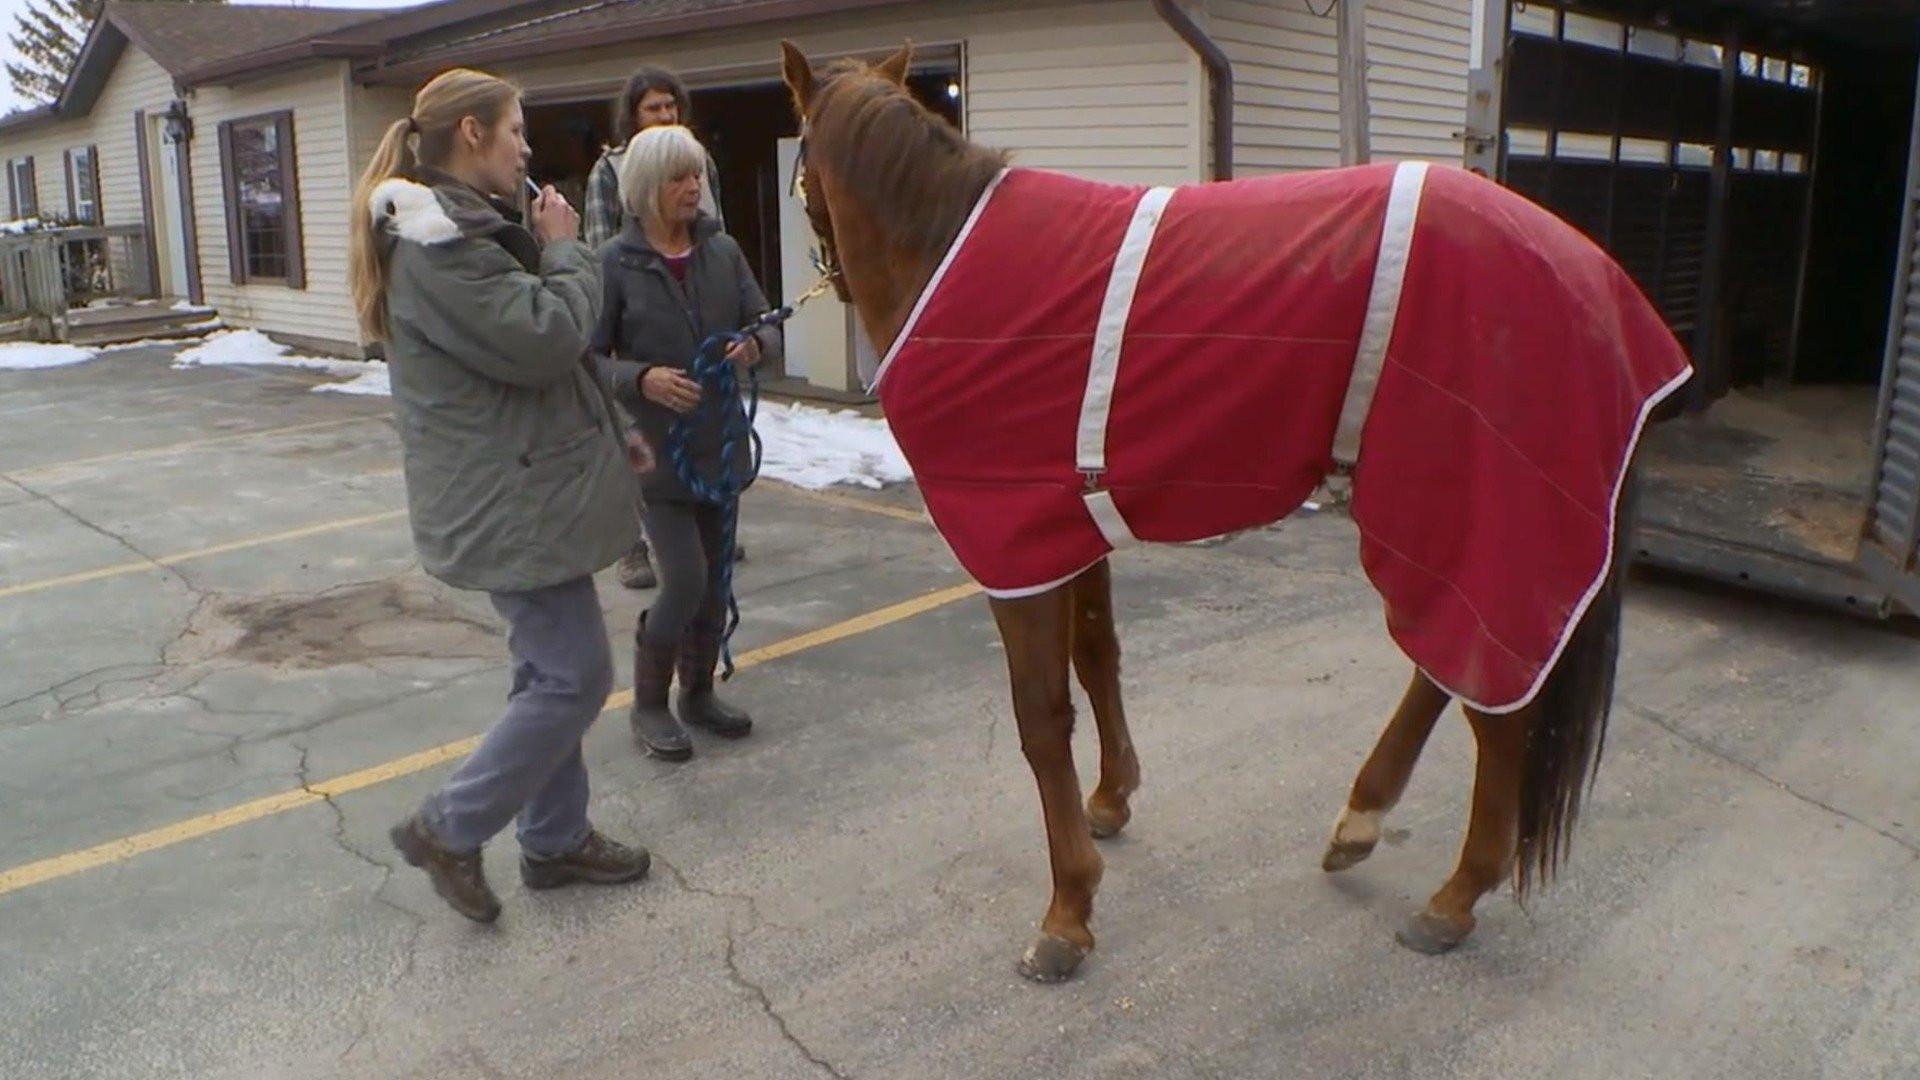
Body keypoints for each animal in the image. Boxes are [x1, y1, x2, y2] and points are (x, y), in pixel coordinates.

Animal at [779, 41, 1691, 983]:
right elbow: (1098, 657)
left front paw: (1068, 910)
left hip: (1464, 518)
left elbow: (1041, 717)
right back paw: (1361, 822)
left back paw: (1453, 897)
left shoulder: (1013, 548)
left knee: (1491, 699)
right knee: (1450, 675)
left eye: (799, 168)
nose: (830, 281)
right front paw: (1111, 800)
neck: (949, 254)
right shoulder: (1072, 528)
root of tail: (1594, 281)